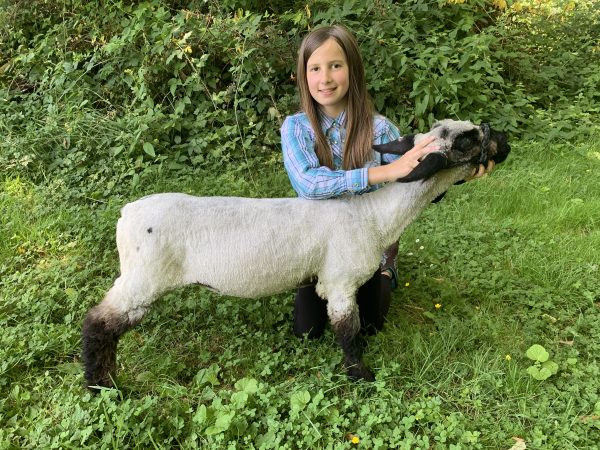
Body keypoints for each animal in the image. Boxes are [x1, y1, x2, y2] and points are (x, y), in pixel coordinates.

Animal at [82, 120, 508, 390]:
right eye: (468, 139)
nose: (504, 141)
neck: (373, 216)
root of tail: (126, 215)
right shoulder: (339, 282)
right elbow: (349, 331)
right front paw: (361, 376)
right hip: (143, 278)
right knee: (97, 323)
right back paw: (101, 385)